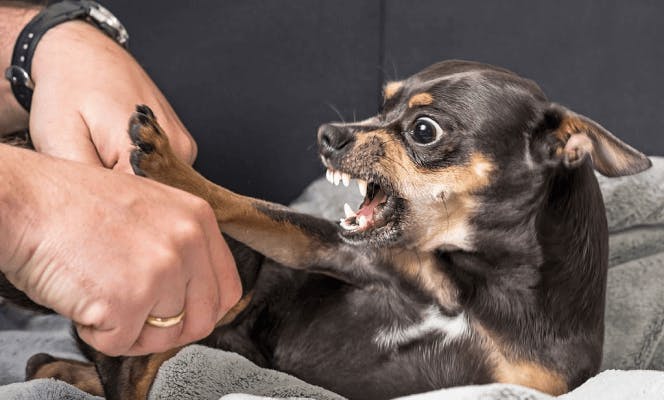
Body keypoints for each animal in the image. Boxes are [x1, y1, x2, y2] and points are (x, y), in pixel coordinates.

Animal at [2, 60, 652, 400]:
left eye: (423, 130)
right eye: (381, 104)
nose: (329, 134)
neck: (474, 284)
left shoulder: (524, 385)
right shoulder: (336, 250)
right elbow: (243, 204)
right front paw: (169, 167)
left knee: (89, 372)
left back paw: (58, 368)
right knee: (118, 373)